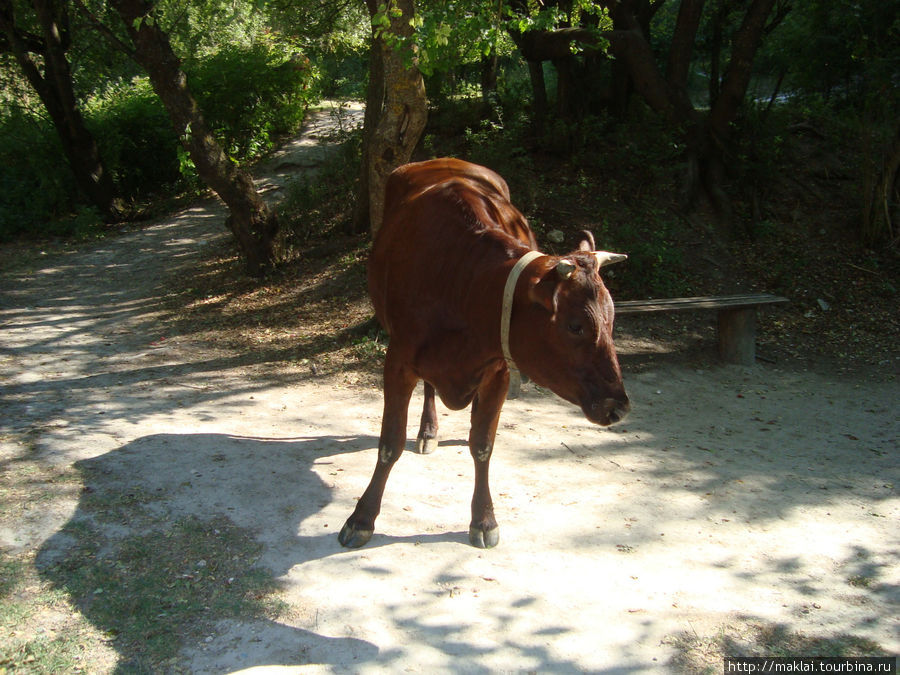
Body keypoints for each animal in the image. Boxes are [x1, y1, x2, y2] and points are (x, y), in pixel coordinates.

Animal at [342, 158, 628, 548]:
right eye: (575, 326)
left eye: (612, 318)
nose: (619, 406)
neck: (465, 286)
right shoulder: (398, 361)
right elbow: (389, 444)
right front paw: (362, 518)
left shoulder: (500, 371)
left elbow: (482, 445)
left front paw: (484, 519)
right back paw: (428, 432)